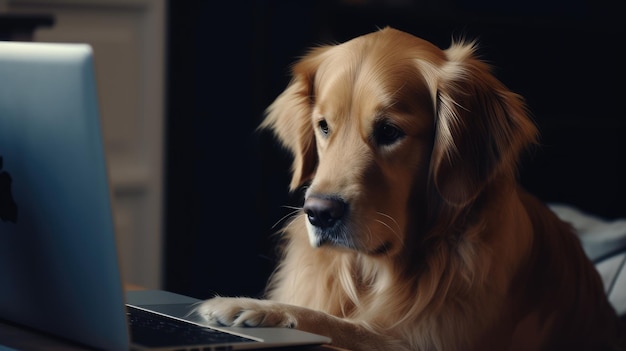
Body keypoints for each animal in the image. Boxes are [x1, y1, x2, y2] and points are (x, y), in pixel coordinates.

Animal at [196, 26, 624, 350]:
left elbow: (341, 327)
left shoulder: (424, 341)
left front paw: (252, 307)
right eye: (323, 127)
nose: (318, 213)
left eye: (389, 132)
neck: (373, 272)